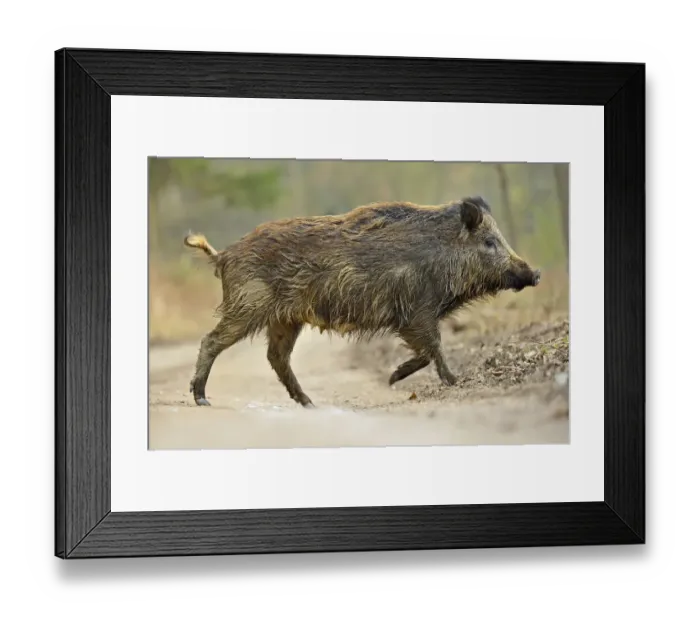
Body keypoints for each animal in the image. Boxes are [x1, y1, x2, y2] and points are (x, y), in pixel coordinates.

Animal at [184, 196, 541, 407]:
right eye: (490, 242)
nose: (535, 273)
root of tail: (224, 256)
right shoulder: (416, 312)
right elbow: (433, 349)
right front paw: (447, 381)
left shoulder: (414, 316)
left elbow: (430, 350)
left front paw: (401, 378)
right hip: (248, 305)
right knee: (211, 341)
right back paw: (202, 399)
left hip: (285, 318)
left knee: (276, 357)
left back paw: (309, 403)